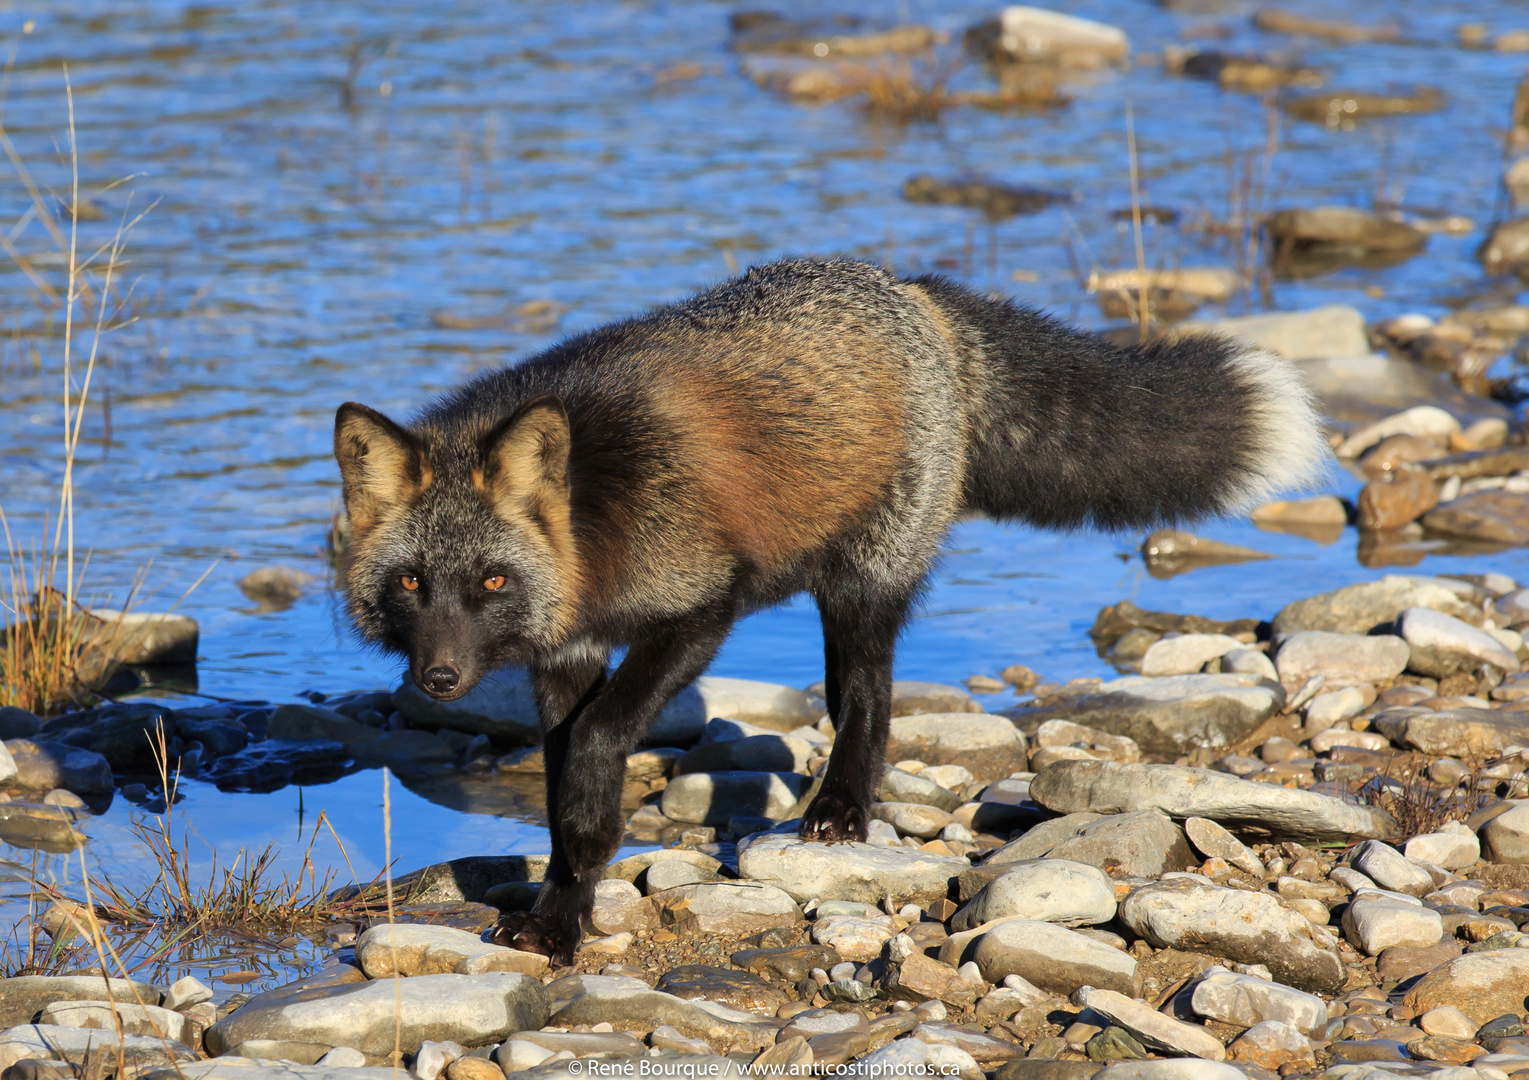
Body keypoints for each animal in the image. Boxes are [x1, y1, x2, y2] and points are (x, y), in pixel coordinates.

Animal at [333, 256, 1325, 964]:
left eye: (492, 583)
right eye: (413, 584)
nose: (439, 677)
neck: (599, 515)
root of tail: (908, 290)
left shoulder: (701, 608)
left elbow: (597, 744)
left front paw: (578, 867)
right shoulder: (565, 656)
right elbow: (563, 780)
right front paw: (561, 914)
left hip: (860, 587)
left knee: (868, 699)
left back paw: (843, 807)